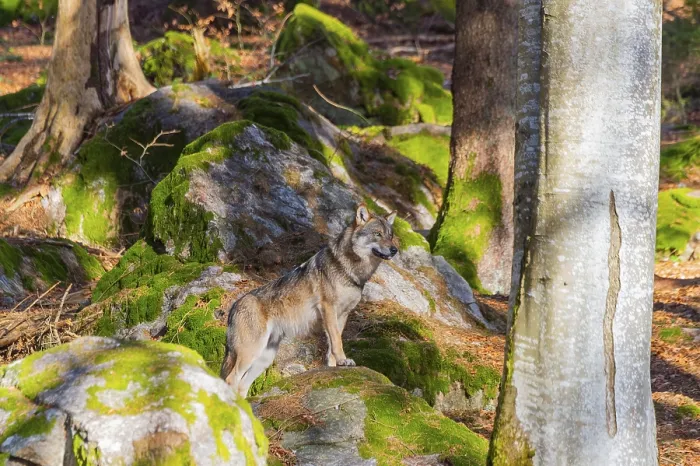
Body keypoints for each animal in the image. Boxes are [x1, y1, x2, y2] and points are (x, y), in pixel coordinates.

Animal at [220, 205, 398, 397]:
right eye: (378, 234)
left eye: (390, 235)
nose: (394, 250)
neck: (348, 271)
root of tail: (234, 306)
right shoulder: (329, 309)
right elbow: (337, 342)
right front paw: (344, 361)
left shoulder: (342, 315)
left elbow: (333, 345)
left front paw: (333, 367)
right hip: (251, 353)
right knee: (231, 380)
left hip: (264, 358)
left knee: (242, 385)